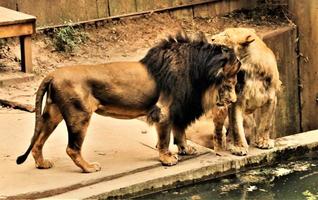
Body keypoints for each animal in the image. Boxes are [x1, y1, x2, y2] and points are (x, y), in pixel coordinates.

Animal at [16, 32, 240, 173]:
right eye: (233, 77)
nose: (234, 100)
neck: (200, 73)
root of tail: (52, 74)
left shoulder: (180, 108)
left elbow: (180, 132)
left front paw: (186, 149)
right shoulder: (164, 110)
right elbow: (166, 138)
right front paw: (167, 158)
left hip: (52, 114)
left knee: (38, 141)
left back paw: (42, 164)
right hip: (79, 116)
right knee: (72, 148)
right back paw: (89, 168)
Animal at [211, 27, 280, 155]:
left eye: (226, 35)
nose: (212, 38)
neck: (251, 67)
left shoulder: (271, 98)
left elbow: (266, 123)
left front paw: (263, 142)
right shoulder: (237, 101)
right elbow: (236, 127)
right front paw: (239, 147)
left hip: (249, 119)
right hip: (221, 110)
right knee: (218, 133)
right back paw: (221, 150)